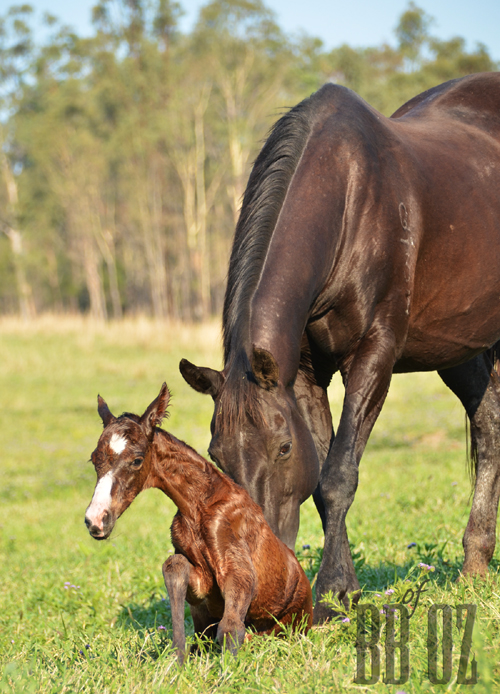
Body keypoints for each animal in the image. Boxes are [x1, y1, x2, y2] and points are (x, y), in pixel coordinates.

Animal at [84, 383, 313, 662]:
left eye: (137, 460)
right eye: (94, 459)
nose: (96, 520)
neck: (199, 507)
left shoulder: (239, 569)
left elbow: (231, 627)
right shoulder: (204, 584)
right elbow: (174, 567)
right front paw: (178, 656)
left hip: (292, 623)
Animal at [179, 72, 500, 622]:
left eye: (283, 448)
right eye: (217, 455)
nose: (255, 570)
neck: (349, 199)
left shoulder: (374, 356)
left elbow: (338, 474)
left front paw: (330, 587)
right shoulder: (306, 374)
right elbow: (324, 482)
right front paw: (342, 591)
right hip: (456, 347)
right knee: (489, 425)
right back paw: (476, 564)